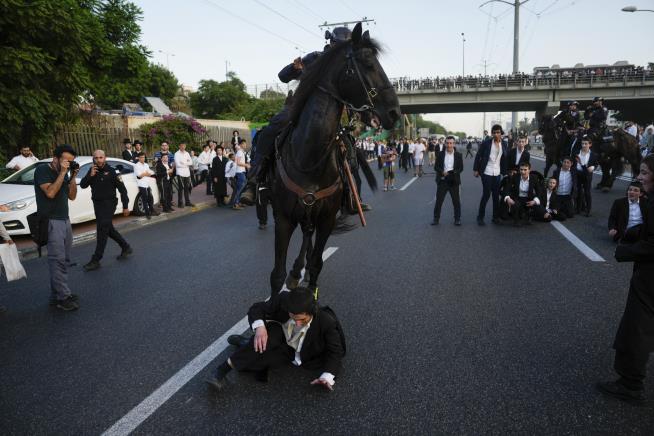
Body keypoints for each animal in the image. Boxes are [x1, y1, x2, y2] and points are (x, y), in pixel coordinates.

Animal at [270, 23, 402, 296]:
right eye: (368, 63)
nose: (395, 113)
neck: (308, 158)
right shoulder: (283, 219)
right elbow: (276, 275)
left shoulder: (327, 219)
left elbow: (316, 264)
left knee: (308, 240)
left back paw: (297, 271)